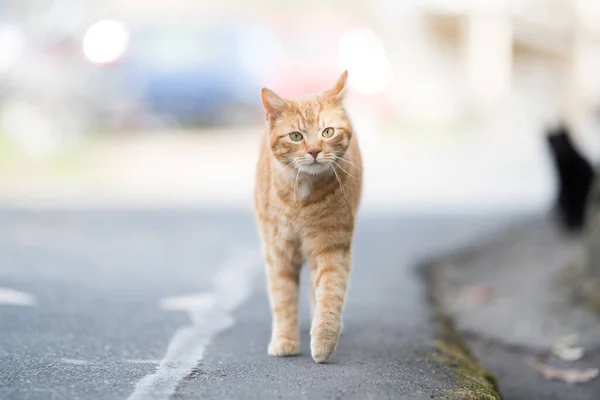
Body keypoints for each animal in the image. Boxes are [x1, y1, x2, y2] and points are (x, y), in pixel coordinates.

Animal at [252, 71, 360, 362]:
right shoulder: (278, 251)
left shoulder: (331, 247)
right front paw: (285, 341)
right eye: (296, 136)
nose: (313, 151)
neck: (301, 197)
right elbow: (283, 299)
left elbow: (330, 295)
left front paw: (323, 341)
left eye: (327, 132)